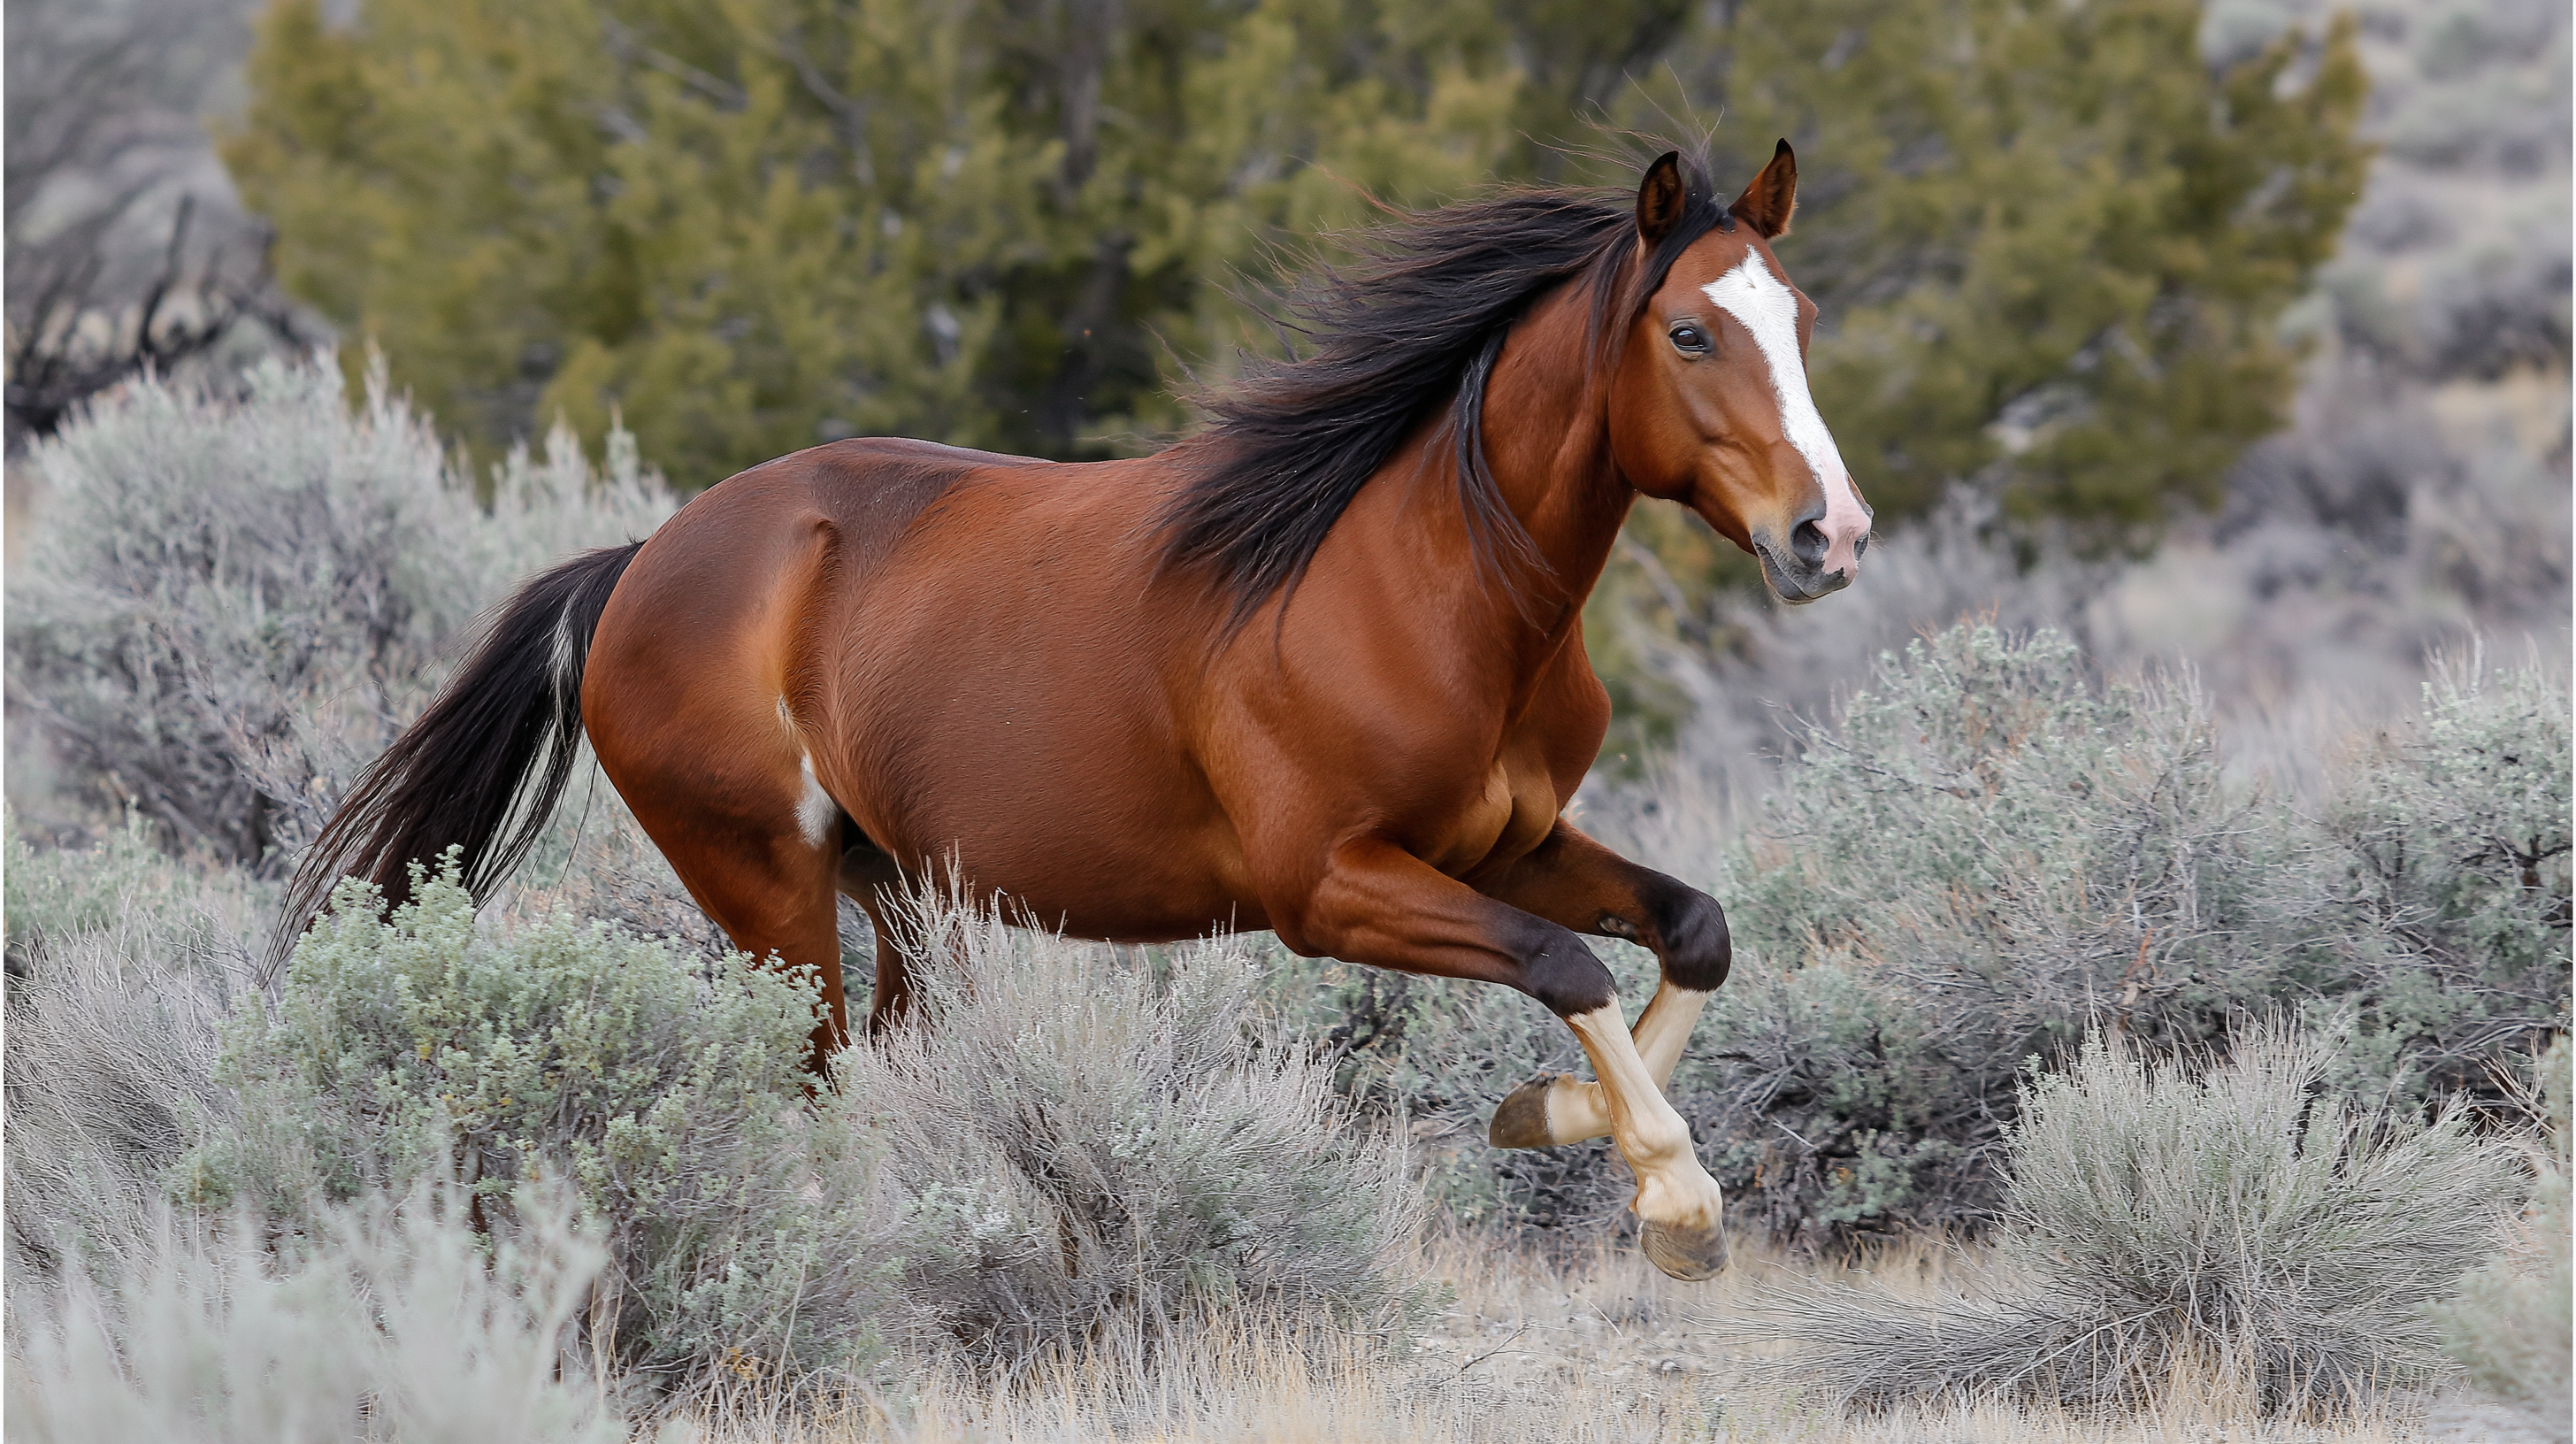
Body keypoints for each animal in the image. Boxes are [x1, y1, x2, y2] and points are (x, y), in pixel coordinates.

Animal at [279, 142, 1871, 1281]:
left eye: (1797, 316)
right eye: (1687, 333)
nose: (1829, 537)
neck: (1427, 584)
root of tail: (639, 563)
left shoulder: (1507, 845)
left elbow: (1687, 934)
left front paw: (1558, 1118)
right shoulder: (1329, 888)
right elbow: (1567, 966)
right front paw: (1673, 1194)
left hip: (904, 896)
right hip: (769, 895)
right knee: (816, 1097)